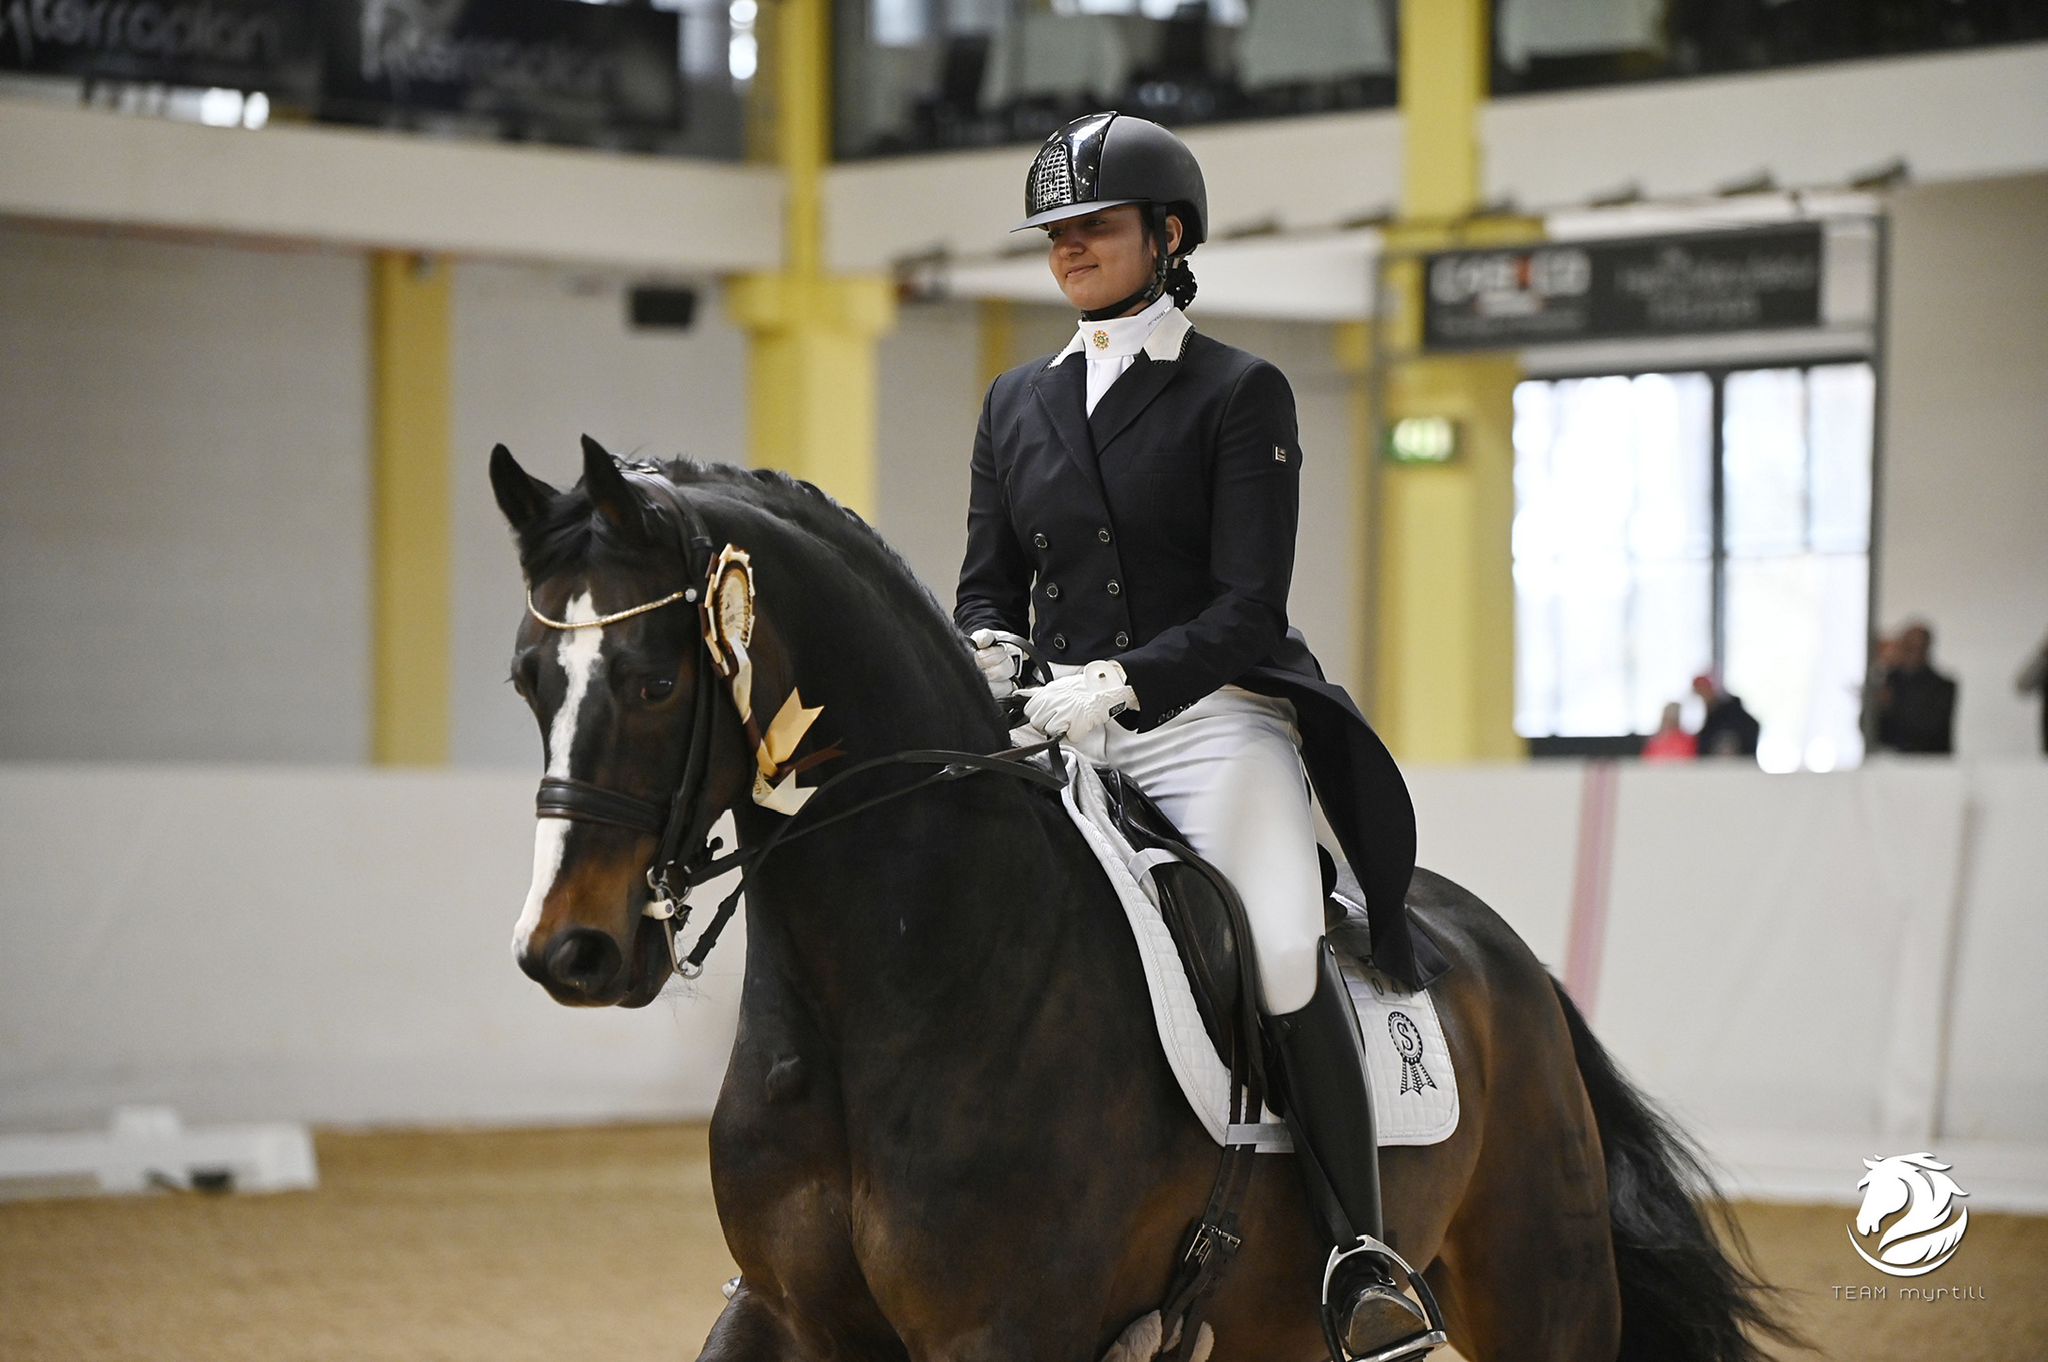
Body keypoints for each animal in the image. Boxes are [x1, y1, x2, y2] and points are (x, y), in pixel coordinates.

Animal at [487, 438, 1785, 1359]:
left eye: (656, 682)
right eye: (526, 678)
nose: (570, 952)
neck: (888, 987)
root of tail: (1502, 956)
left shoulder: (1003, 1334)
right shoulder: (779, 1312)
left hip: (1538, 1298)